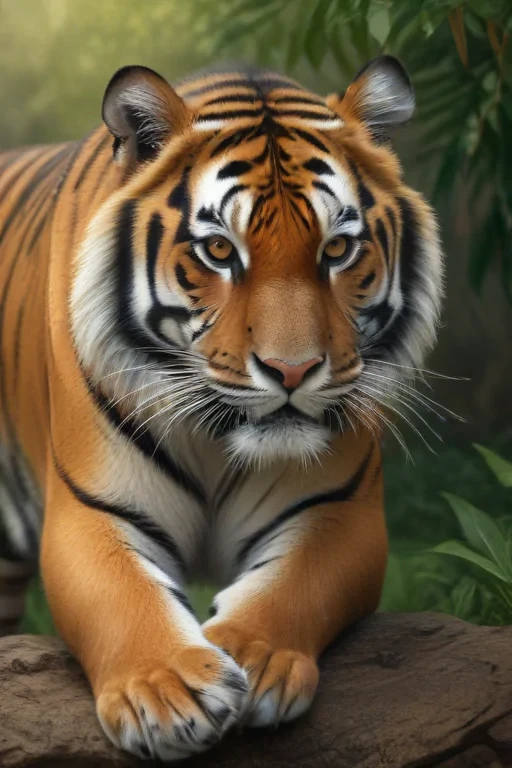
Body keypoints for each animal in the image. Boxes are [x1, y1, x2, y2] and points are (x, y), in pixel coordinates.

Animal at [0, 56, 443, 760]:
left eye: (337, 250)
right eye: (218, 251)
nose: (293, 371)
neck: (217, 436)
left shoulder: (340, 509)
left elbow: (296, 586)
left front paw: (254, 658)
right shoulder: (89, 511)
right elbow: (121, 598)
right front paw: (167, 694)